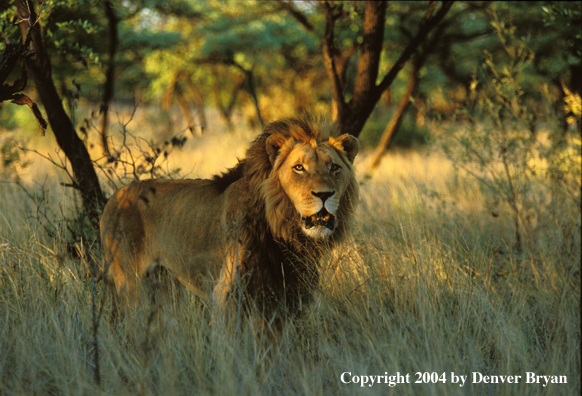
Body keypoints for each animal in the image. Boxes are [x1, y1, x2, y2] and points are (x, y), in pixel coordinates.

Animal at [100, 114, 358, 324]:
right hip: (130, 284)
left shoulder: (285, 297)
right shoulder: (227, 294)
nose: (324, 194)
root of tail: (115, 197)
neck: (284, 232)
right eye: (299, 168)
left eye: (334, 168)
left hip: (164, 287)